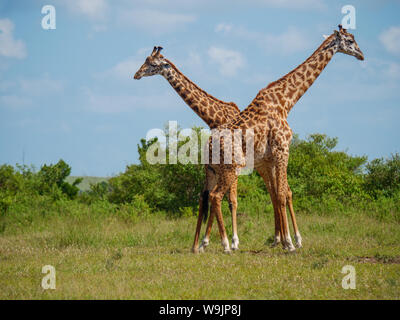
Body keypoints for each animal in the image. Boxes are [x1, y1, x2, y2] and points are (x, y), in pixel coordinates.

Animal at [134, 46, 300, 254]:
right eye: (145, 60)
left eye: (152, 64)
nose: (136, 74)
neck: (214, 117)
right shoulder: (214, 166)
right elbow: (205, 199)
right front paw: (200, 244)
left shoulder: (230, 166)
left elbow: (232, 201)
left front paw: (233, 242)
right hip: (262, 165)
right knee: (276, 192)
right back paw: (278, 239)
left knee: (284, 192)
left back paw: (292, 239)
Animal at [202, 25, 364, 252]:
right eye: (349, 41)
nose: (361, 55)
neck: (286, 101)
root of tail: (207, 146)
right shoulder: (282, 149)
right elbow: (280, 194)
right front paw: (289, 243)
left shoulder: (271, 157)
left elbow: (279, 194)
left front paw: (285, 240)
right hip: (232, 167)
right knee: (216, 196)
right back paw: (226, 244)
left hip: (215, 170)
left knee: (210, 197)